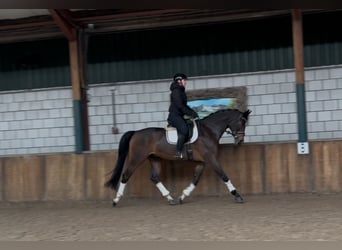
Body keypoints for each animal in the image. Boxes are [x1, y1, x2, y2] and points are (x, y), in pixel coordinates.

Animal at [104, 108, 251, 206]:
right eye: (241, 122)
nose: (240, 141)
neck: (208, 131)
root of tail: (135, 132)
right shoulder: (211, 159)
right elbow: (224, 175)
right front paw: (237, 195)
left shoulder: (202, 162)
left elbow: (196, 179)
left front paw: (183, 196)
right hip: (137, 158)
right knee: (125, 175)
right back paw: (116, 200)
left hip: (154, 158)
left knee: (154, 177)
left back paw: (170, 198)